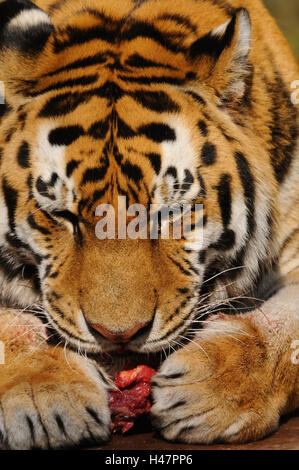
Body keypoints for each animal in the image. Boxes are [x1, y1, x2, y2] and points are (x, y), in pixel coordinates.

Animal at [0, 0, 298, 450]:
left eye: (167, 212)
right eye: (62, 215)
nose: (119, 335)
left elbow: (285, 328)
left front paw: (211, 395)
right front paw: (44, 400)